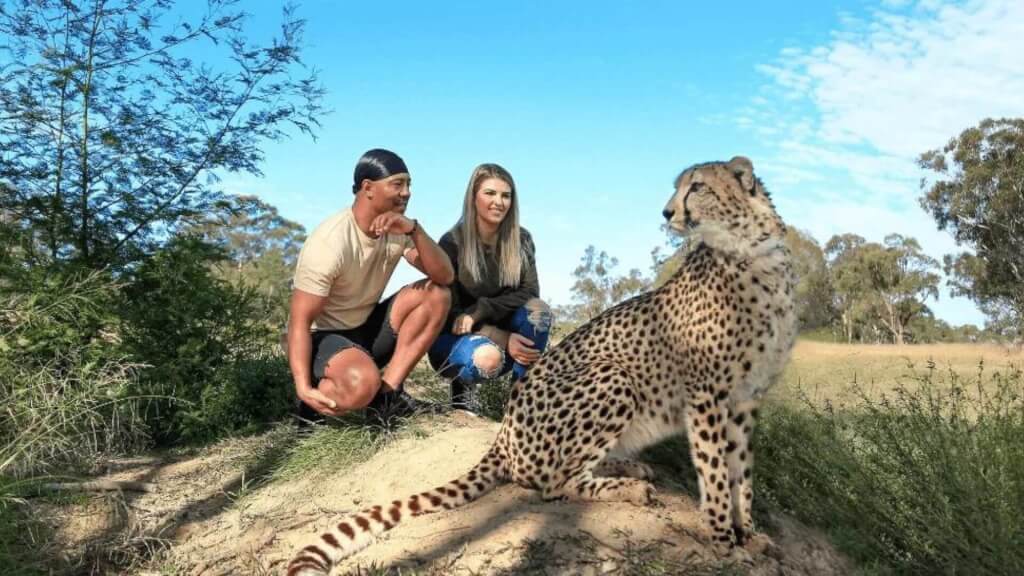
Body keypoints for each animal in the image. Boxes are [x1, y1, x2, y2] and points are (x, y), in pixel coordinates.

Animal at [288, 154, 798, 569]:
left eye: (698, 187)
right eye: (681, 187)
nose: (668, 213)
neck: (754, 255)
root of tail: (505, 429)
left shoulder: (746, 399)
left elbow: (742, 473)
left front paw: (749, 535)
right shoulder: (707, 396)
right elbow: (716, 474)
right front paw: (724, 541)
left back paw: (629, 469)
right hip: (614, 377)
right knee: (555, 483)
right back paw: (629, 487)